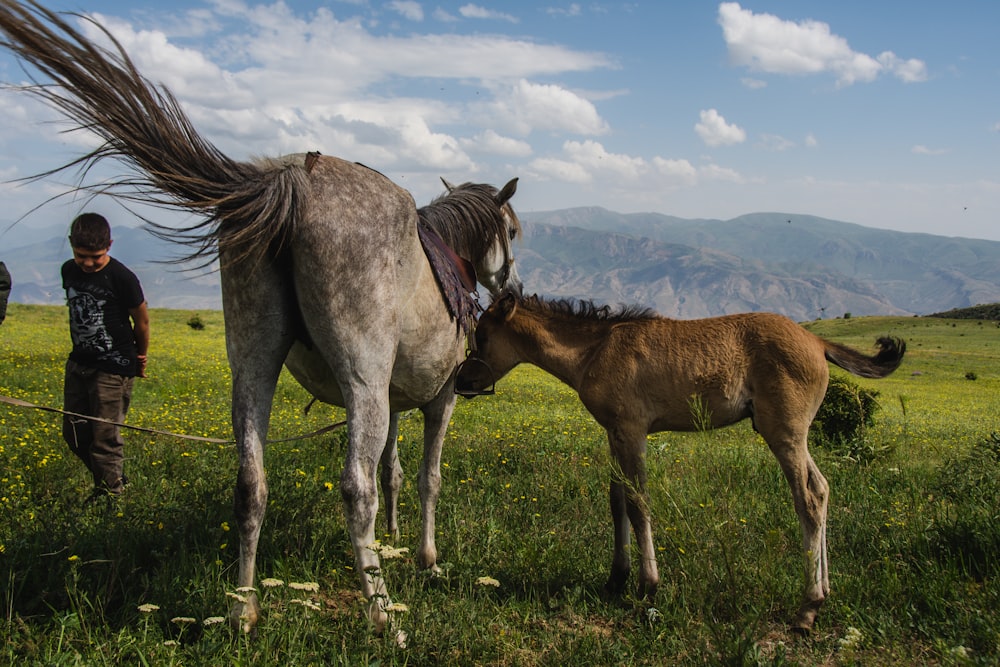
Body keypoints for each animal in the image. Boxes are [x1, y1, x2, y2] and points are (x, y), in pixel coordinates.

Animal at [1, 0, 524, 636]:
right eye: (514, 231)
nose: (513, 290)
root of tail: (291, 179)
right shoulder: (437, 396)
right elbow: (426, 478)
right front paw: (424, 558)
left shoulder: (400, 399)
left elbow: (395, 473)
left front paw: (395, 542)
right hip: (361, 384)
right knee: (356, 488)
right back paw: (381, 616)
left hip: (254, 366)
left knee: (251, 483)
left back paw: (244, 609)